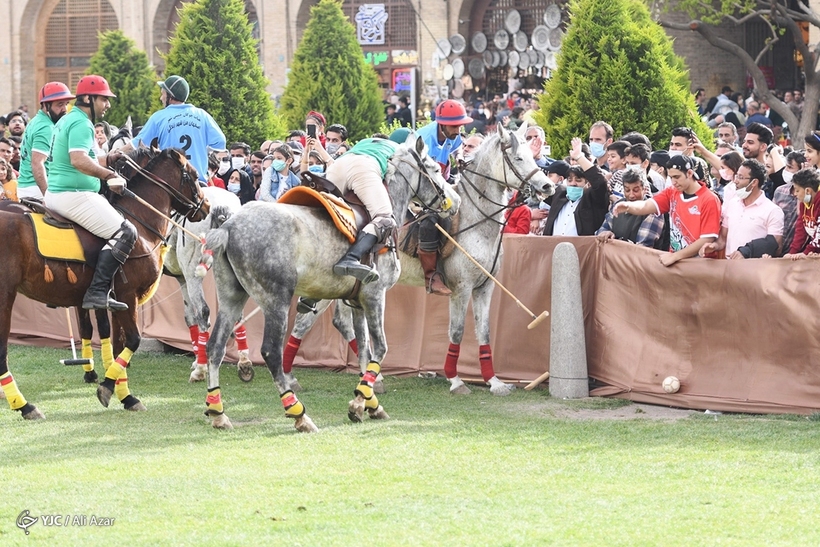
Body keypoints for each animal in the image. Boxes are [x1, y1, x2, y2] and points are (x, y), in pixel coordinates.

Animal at [0, 145, 209, 419]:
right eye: (193, 175)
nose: (206, 206)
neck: (142, 224)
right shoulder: (127, 294)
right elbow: (132, 340)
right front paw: (110, 389)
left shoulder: (114, 301)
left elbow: (117, 344)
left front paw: (123, 394)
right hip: (5, 295)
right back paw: (24, 405)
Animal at [162, 186, 255, 382]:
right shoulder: (181, 279)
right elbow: (190, 317)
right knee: (236, 313)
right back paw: (244, 362)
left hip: (193, 273)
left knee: (204, 312)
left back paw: (201, 370)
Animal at [196, 137, 460, 431]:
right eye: (434, 170)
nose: (454, 202)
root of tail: (228, 226)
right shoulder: (375, 295)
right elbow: (380, 348)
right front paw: (359, 403)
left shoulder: (357, 301)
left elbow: (364, 351)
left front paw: (369, 403)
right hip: (276, 299)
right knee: (271, 352)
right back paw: (298, 414)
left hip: (232, 296)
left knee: (215, 346)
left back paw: (218, 412)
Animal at [284, 123, 554, 395]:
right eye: (518, 158)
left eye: (533, 156)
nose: (547, 187)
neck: (477, 220)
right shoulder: (462, 288)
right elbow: (457, 331)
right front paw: (455, 380)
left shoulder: (485, 287)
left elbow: (484, 331)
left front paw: (494, 382)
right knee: (304, 321)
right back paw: (292, 376)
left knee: (340, 321)